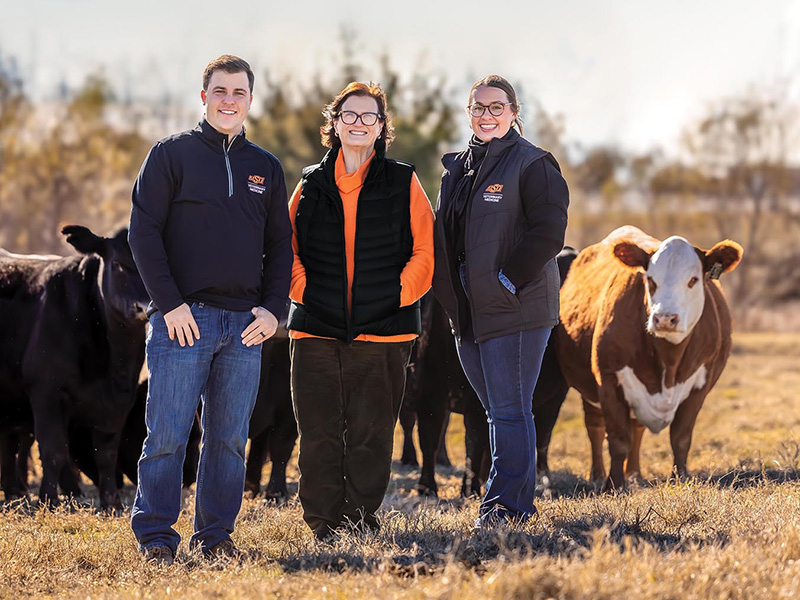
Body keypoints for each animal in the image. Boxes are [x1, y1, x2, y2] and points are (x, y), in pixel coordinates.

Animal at [0, 227, 148, 508]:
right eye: (117, 263)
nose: (144, 307)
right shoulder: (46, 395)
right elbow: (54, 451)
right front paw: (49, 500)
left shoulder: (118, 403)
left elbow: (106, 455)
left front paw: (111, 503)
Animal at [556, 227, 744, 490]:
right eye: (650, 280)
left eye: (693, 280)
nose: (665, 318)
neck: (668, 360)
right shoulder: (608, 380)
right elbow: (618, 439)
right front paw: (614, 484)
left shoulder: (701, 384)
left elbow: (681, 436)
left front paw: (680, 477)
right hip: (590, 390)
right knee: (595, 426)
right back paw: (598, 475)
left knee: (637, 427)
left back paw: (635, 473)